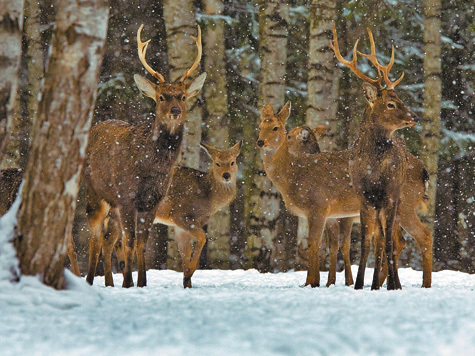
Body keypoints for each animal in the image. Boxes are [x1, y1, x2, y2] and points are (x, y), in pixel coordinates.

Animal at [85, 24, 206, 286]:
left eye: (183, 96)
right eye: (161, 97)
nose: (175, 110)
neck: (151, 167)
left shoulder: (152, 201)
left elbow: (142, 243)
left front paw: (141, 282)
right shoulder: (127, 197)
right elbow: (130, 243)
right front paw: (129, 283)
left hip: (113, 205)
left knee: (108, 239)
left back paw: (108, 282)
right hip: (94, 192)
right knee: (95, 236)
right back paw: (90, 280)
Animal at [258, 101, 434, 288]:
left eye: (277, 128)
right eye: (260, 126)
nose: (260, 141)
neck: (294, 176)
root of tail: (424, 172)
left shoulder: (319, 206)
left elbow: (314, 244)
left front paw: (313, 283)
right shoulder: (331, 215)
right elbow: (331, 246)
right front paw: (323, 282)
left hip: (404, 205)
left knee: (423, 236)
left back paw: (422, 284)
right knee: (400, 240)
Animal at [332, 26, 422, 290]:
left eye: (401, 99)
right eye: (391, 103)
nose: (414, 117)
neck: (373, 170)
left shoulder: (390, 194)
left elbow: (388, 243)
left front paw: (391, 285)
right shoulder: (364, 196)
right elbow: (365, 243)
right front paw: (359, 284)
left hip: (400, 201)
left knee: (392, 240)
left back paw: (392, 283)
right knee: (381, 238)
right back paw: (376, 283)